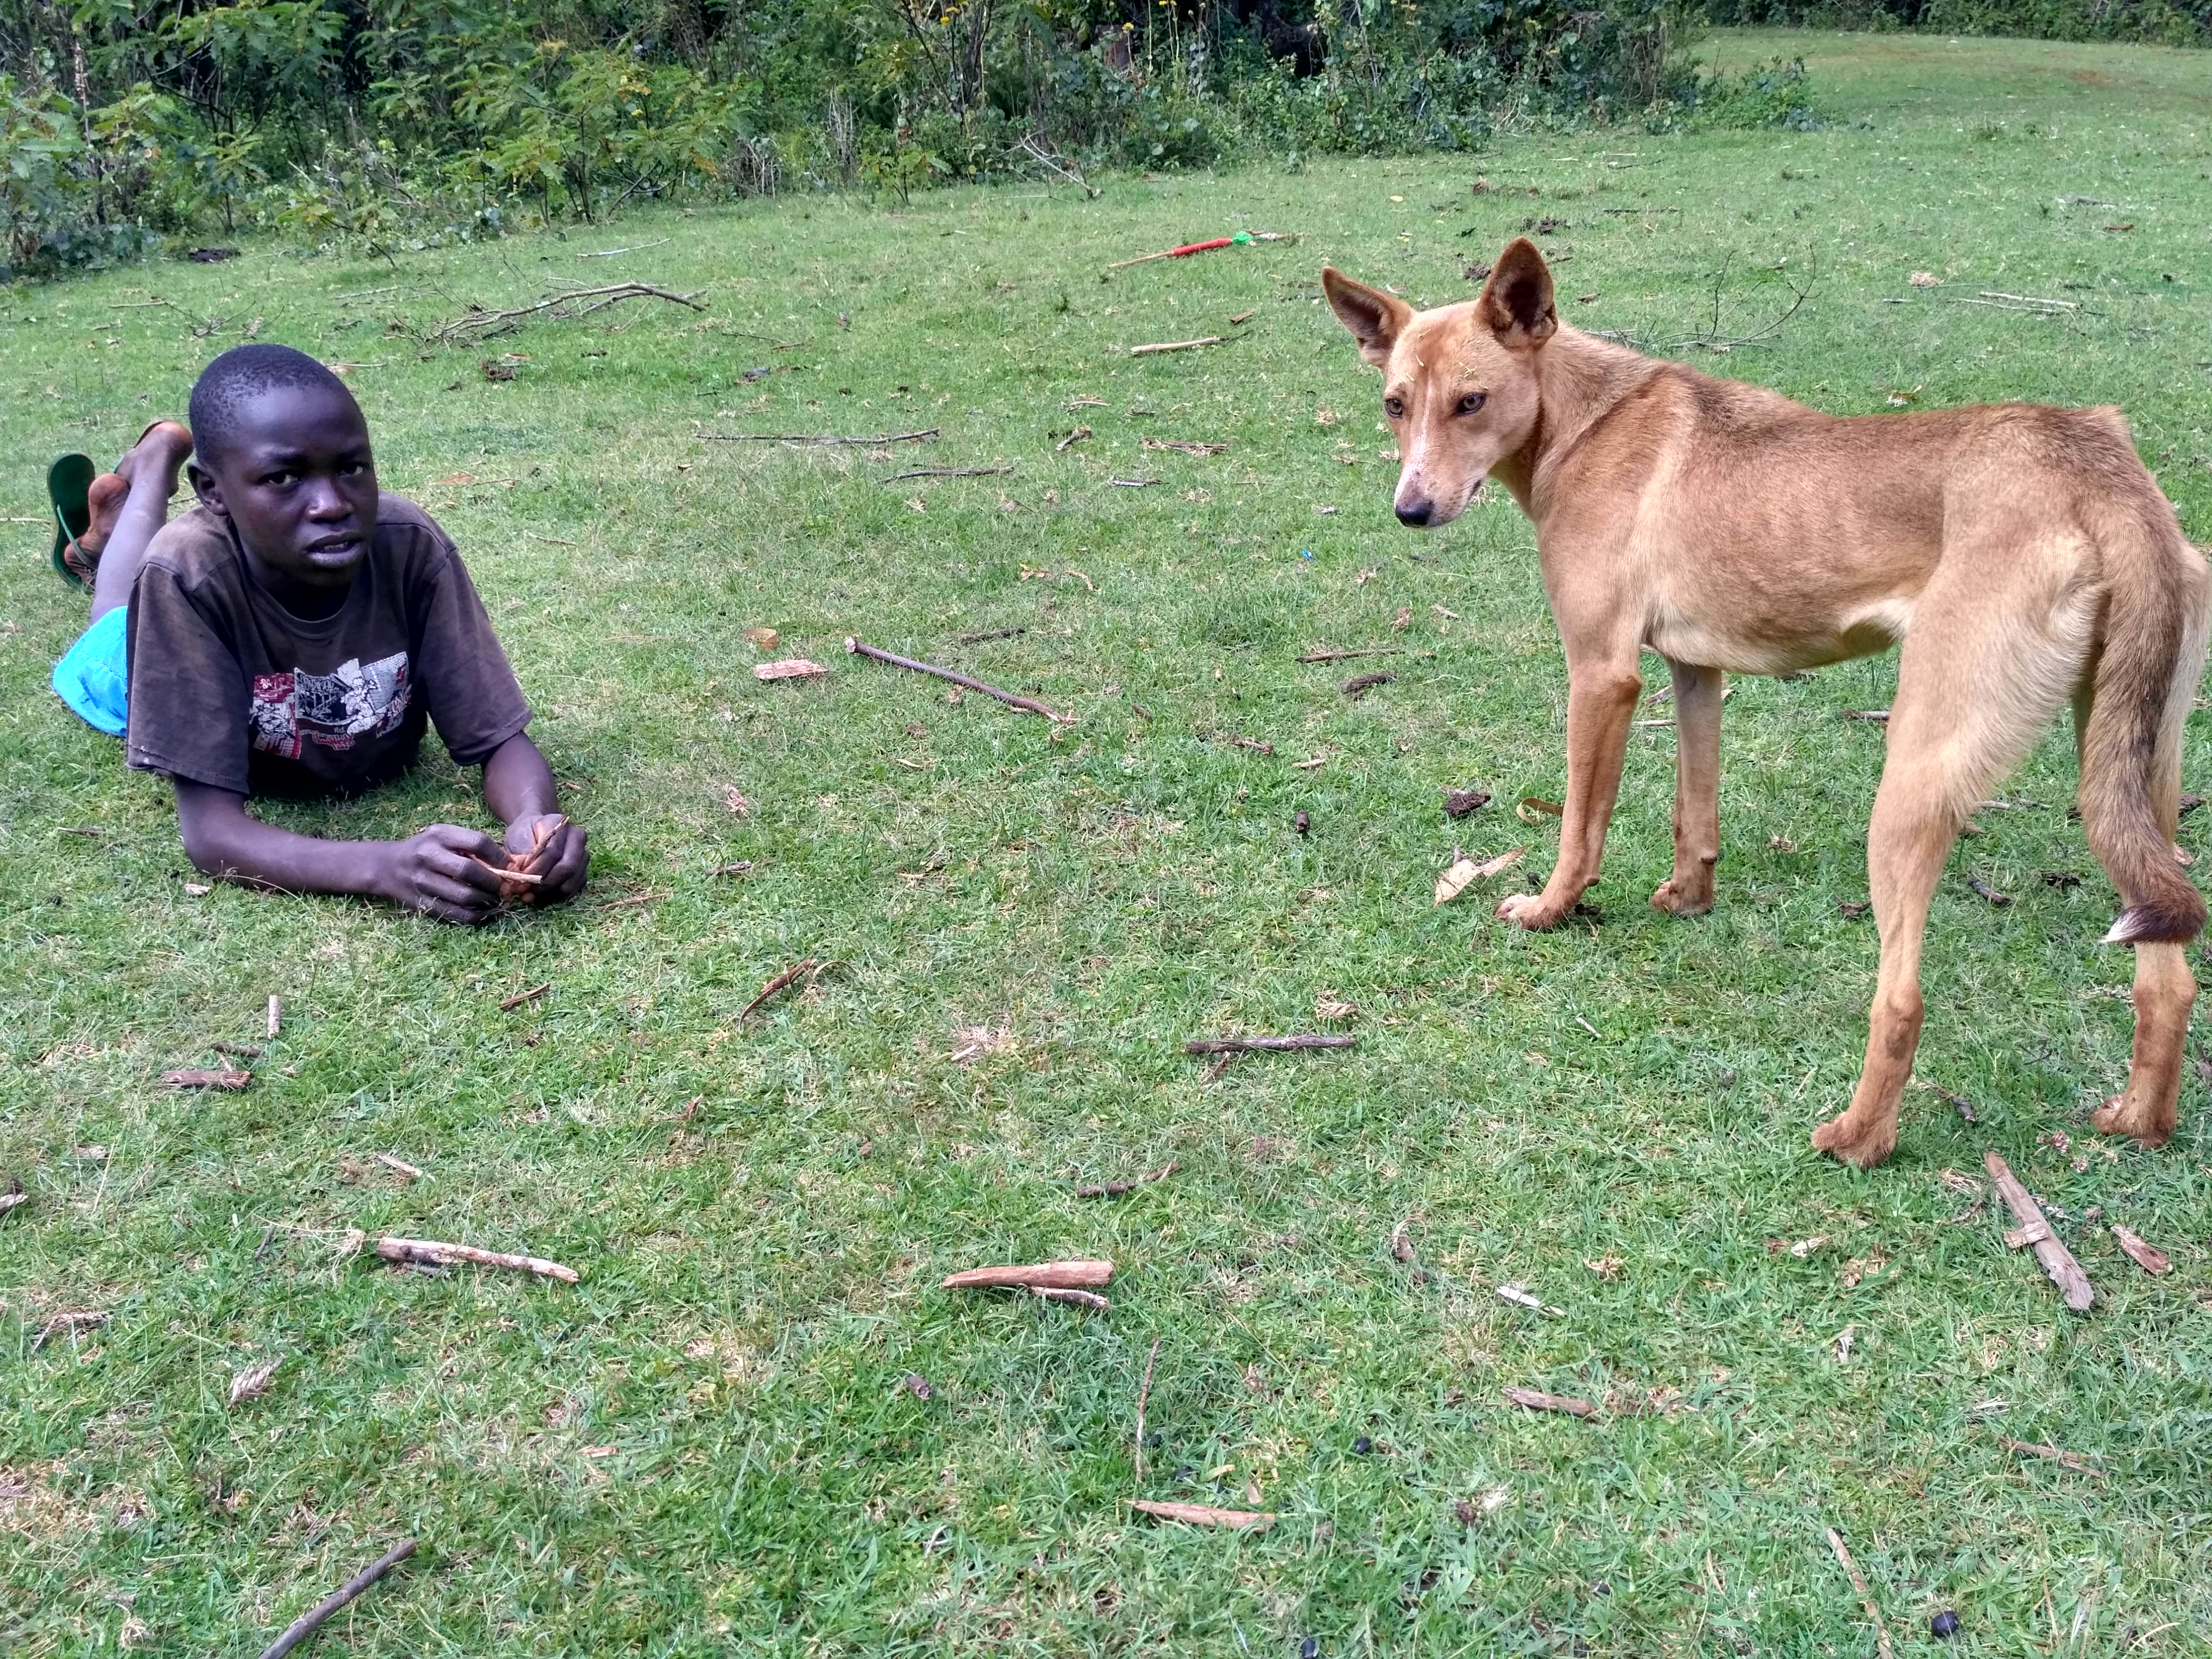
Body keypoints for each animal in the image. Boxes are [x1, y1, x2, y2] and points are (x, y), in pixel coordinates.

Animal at [1325, 237, 2208, 1168]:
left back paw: (1858, 1138)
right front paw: (1688, 899)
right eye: (1394, 405)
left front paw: (1551, 910)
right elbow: (1696, 811)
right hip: (2133, 775)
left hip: (1916, 778)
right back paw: (2139, 1120)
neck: (1582, 419)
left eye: (1472, 402)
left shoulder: (1601, 675)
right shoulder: (1692, 673)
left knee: (1902, 1000)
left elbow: (1579, 827)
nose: (1411, 510)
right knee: (2171, 979)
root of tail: (2103, 473)